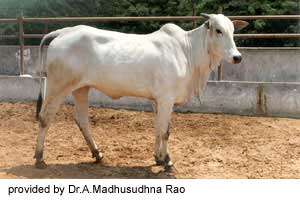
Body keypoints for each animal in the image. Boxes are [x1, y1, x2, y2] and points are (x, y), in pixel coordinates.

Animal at [33, 13, 248, 169]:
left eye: (232, 31)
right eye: (218, 30)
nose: (237, 57)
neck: (188, 52)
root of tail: (64, 32)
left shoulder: (157, 100)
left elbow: (158, 128)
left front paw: (159, 158)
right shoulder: (166, 98)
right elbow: (165, 131)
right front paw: (166, 161)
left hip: (81, 88)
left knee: (82, 120)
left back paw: (97, 154)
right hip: (57, 86)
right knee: (45, 117)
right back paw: (39, 157)